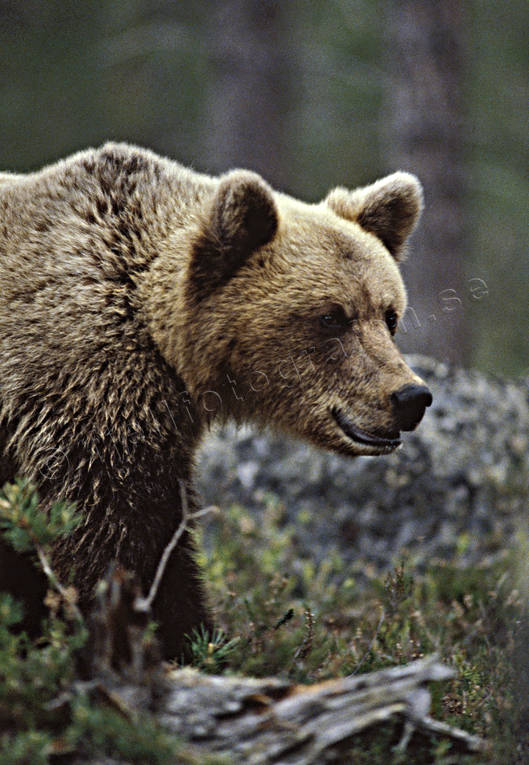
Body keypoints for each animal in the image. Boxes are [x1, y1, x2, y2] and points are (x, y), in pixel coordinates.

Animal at [0, 143, 428, 656]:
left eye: (389, 315)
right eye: (331, 317)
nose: (411, 397)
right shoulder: (84, 397)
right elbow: (121, 537)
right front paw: (177, 636)